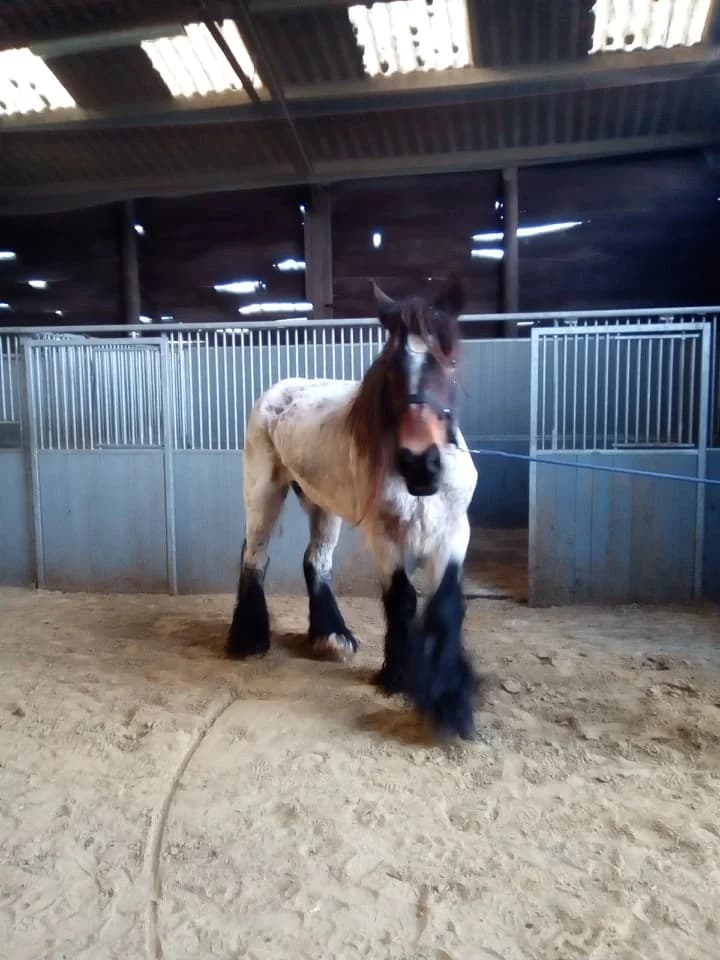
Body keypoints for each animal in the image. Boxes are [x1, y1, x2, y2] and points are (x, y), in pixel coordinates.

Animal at [225, 275, 482, 739]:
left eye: (448, 360)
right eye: (392, 367)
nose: (420, 463)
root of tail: (279, 392)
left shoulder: (453, 532)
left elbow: (447, 604)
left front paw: (450, 702)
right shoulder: (382, 536)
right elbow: (401, 598)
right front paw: (398, 677)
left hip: (321, 504)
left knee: (315, 561)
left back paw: (330, 636)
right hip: (263, 492)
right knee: (254, 555)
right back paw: (249, 639)